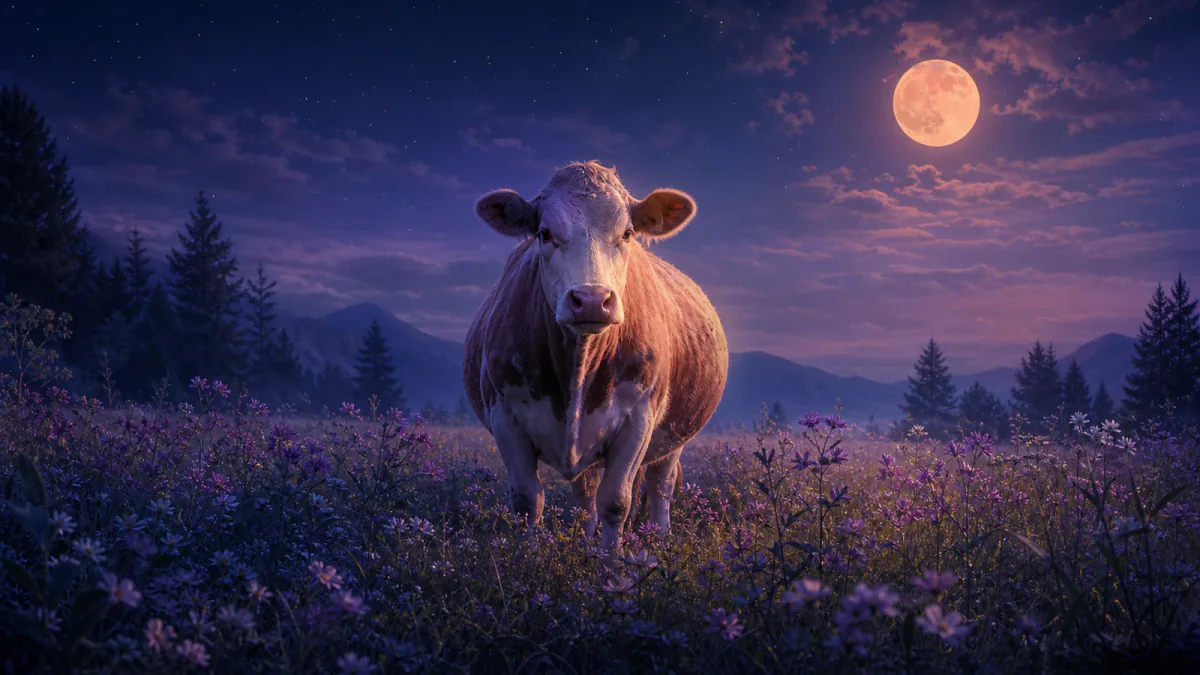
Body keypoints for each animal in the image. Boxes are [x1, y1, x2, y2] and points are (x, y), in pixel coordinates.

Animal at [463, 161, 728, 551]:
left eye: (628, 233)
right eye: (544, 233)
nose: (591, 299)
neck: (577, 368)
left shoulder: (639, 417)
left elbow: (615, 502)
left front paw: (610, 565)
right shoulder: (504, 415)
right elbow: (528, 501)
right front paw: (527, 559)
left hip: (674, 437)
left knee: (660, 487)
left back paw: (659, 542)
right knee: (585, 496)